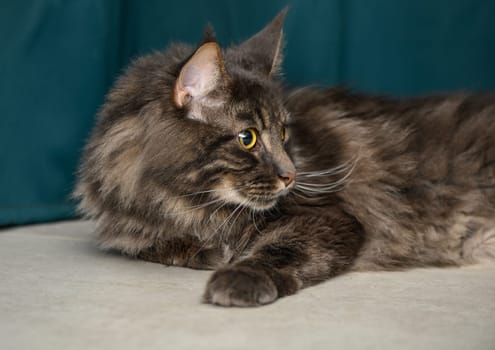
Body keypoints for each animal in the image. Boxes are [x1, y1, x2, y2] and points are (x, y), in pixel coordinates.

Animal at [73, 9, 495, 306]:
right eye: (247, 139)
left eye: (283, 134)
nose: (291, 176)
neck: (183, 201)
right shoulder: (133, 228)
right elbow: (155, 247)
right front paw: (206, 251)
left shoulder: (329, 217)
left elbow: (280, 250)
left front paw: (237, 276)